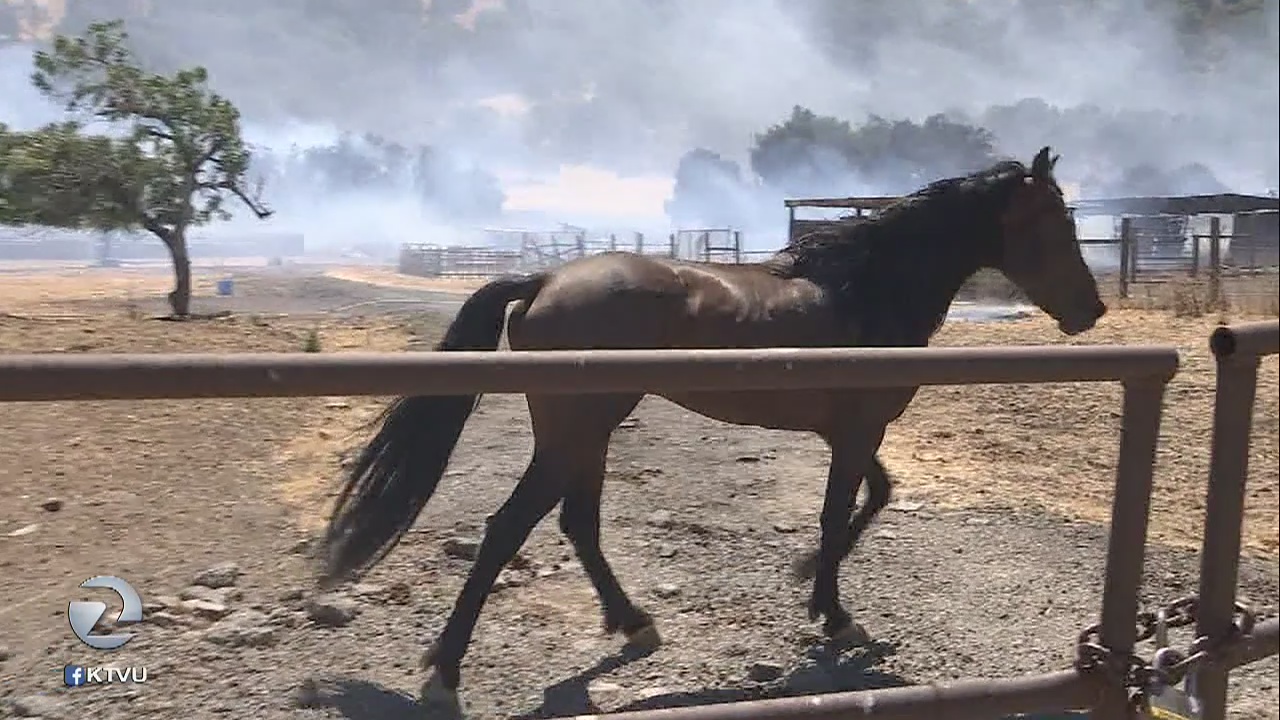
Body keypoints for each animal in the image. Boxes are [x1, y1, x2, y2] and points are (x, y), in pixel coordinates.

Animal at [319, 146, 1106, 710]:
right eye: (1055, 223)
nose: (1092, 310)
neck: (865, 288)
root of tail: (544, 281)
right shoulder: (857, 434)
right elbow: (838, 514)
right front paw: (834, 614)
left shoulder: (852, 432)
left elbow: (872, 499)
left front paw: (810, 586)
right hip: (575, 431)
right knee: (509, 527)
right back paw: (445, 672)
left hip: (590, 433)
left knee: (577, 523)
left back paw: (634, 623)